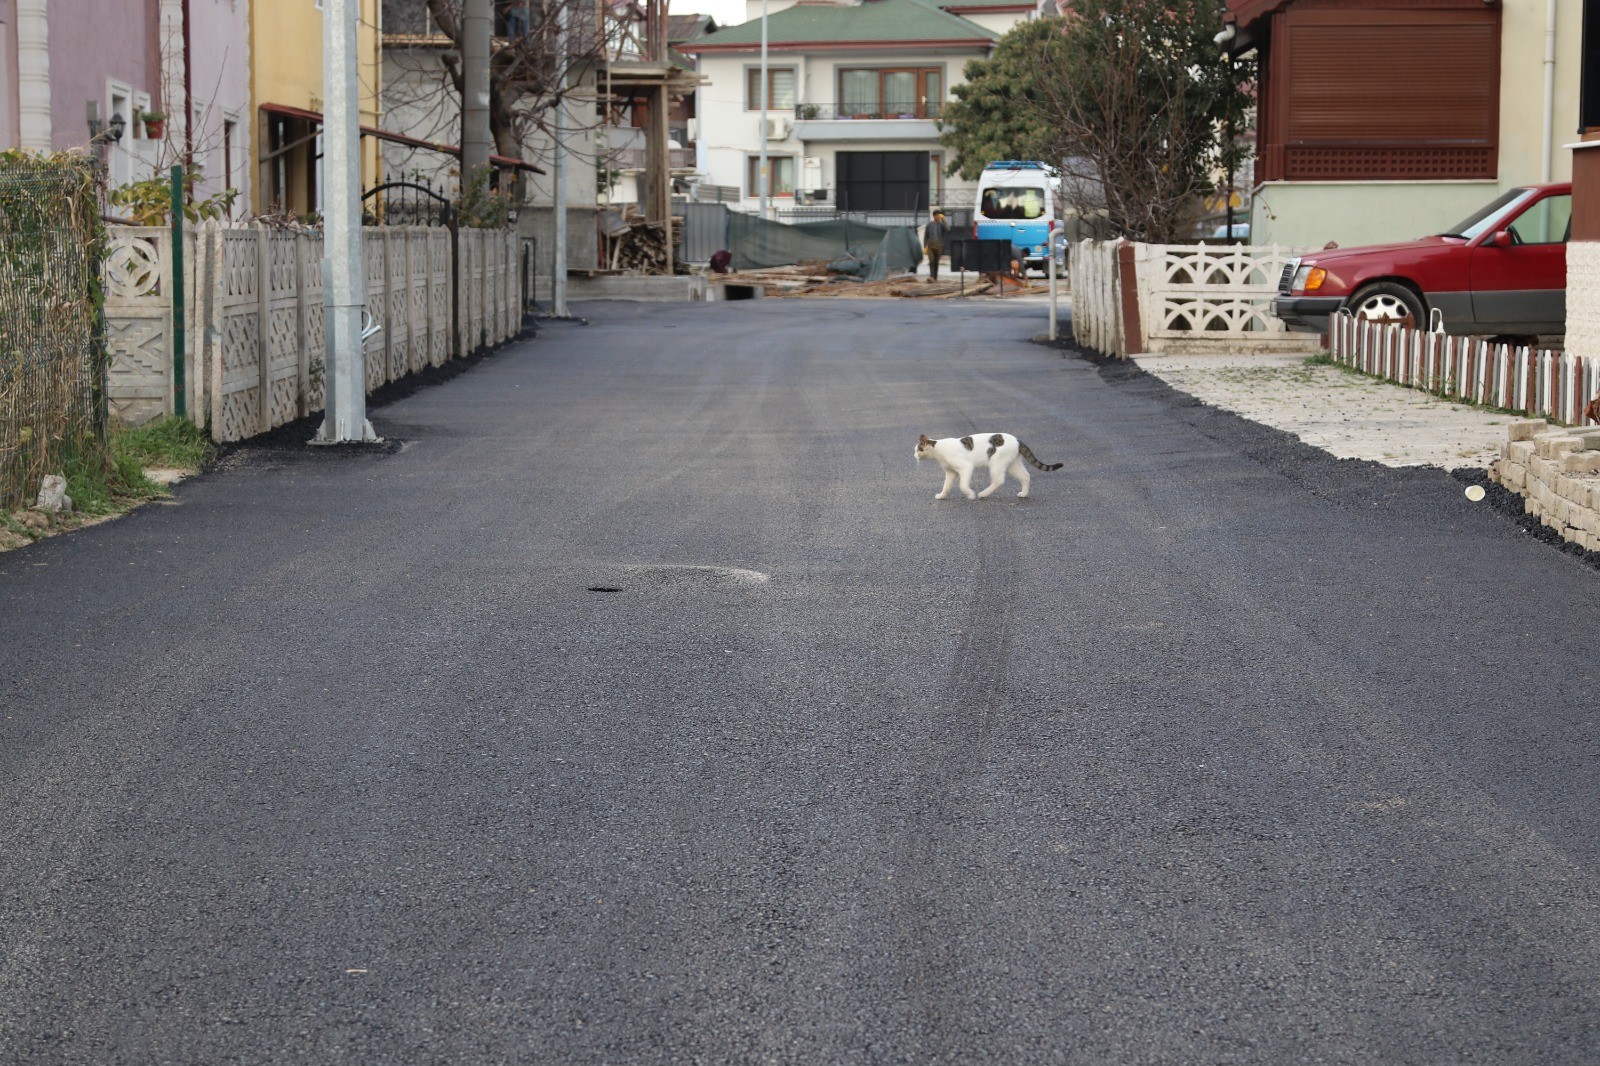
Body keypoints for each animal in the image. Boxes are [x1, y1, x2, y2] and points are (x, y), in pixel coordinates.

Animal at [915, 428, 1062, 499]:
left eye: (917, 449)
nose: (914, 455)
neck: (938, 449)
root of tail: (1017, 440)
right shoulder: (951, 472)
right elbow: (946, 486)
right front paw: (941, 496)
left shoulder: (966, 467)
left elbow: (963, 485)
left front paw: (970, 495)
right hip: (1013, 464)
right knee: (1026, 476)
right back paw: (1024, 494)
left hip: (996, 463)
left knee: (999, 481)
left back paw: (983, 494)